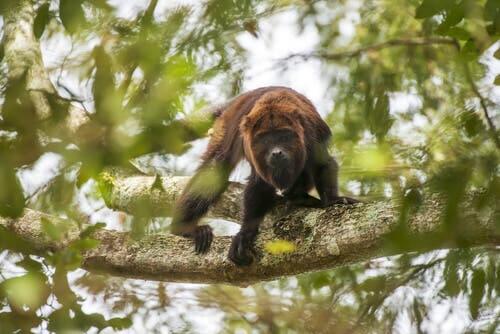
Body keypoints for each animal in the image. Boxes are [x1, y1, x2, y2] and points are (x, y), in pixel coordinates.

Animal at [171, 86, 356, 266]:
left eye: (284, 136)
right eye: (265, 139)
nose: (276, 152)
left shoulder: (311, 132)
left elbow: (322, 163)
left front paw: (332, 199)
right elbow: (258, 184)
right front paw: (246, 233)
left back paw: (298, 197)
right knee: (215, 167)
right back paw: (185, 229)